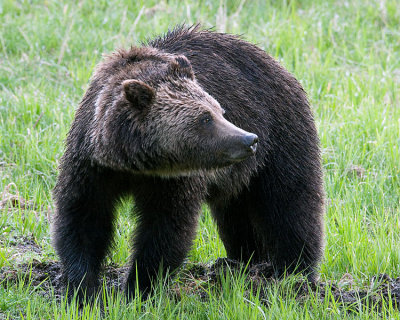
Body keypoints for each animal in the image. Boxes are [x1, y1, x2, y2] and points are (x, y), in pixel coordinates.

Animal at [52, 25, 324, 300]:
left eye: (220, 111)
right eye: (206, 118)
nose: (249, 139)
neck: (133, 163)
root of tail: (278, 65)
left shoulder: (174, 180)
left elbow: (167, 228)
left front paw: (138, 288)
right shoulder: (91, 166)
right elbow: (84, 218)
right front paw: (82, 287)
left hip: (281, 133)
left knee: (289, 202)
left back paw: (294, 273)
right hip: (240, 173)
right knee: (236, 212)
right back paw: (244, 261)